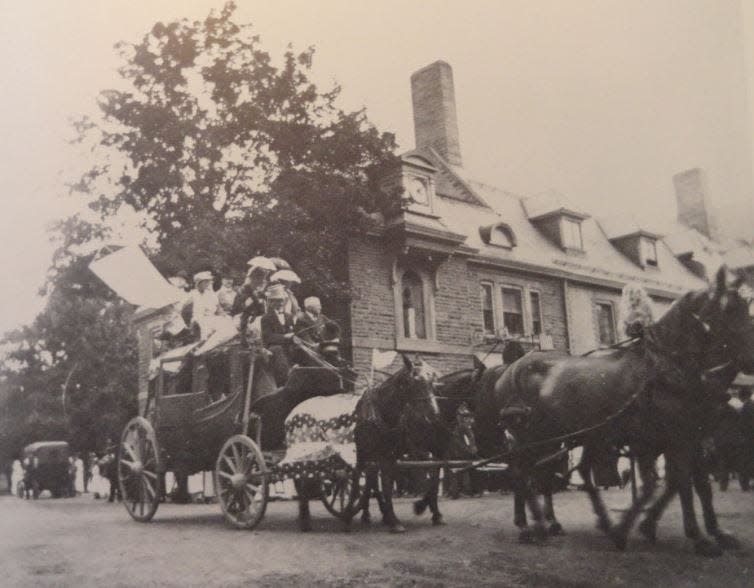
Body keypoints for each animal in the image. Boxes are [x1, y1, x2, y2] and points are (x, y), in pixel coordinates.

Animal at [348, 354, 446, 532]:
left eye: (433, 382)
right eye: (415, 381)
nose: (434, 414)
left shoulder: (404, 454)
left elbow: (432, 480)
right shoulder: (381, 455)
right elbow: (385, 485)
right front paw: (394, 520)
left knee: (372, 479)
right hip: (365, 452)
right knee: (368, 478)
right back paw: (367, 513)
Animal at [482, 268, 752, 560]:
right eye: (729, 309)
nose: (750, 358)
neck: (665, 368)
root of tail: (510, 368)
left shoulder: (688, 437)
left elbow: (695, 483)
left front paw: (713, 532)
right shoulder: (671, 439)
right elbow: (679, 482)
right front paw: (696, 536)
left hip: (560, 438)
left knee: (553, 474)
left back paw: (560, 522)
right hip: (529, 435)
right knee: (522, 472)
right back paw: (533, 527)